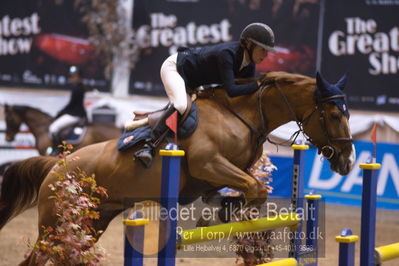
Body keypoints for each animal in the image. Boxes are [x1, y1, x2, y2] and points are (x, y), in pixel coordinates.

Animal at [0, 71, 356, 264]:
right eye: (333, 115)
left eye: (348, 114)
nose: (348, 160)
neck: (243, 115)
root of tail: (56, 165)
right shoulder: (208, 164)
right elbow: (254, 188)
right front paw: (231, 214)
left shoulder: (222, 173)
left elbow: (241, 189)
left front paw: (221, 212)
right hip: (56, 223)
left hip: (90, 223)